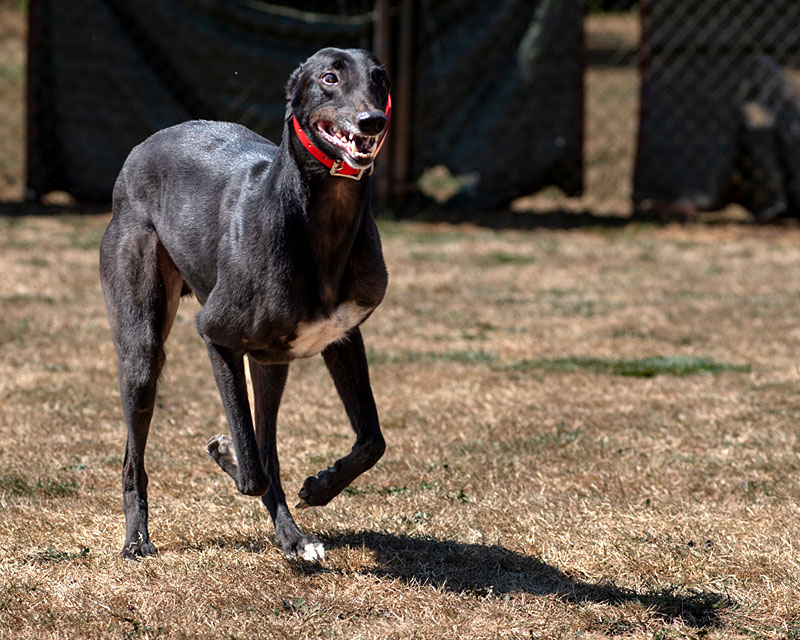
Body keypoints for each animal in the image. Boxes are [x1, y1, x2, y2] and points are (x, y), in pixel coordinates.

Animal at [98, 48, 392, 560]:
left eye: (381, 79)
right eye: (329, 78)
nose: (371, 120)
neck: (317, 221)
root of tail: (142, 147)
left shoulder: (343, 335)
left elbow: (371, 440)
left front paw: (321, 486)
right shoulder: (217, 335)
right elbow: (253, 473)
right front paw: (228, 451)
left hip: (270, 364)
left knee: (268, 440)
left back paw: (293, 539)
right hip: (142, 349)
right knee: (135, 457)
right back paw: (136, 538)